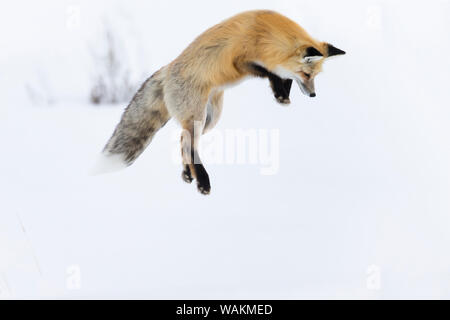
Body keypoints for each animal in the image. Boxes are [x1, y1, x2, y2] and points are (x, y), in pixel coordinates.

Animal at [98, 10, 344, 194]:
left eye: (315, 76)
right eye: (307, 74)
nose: (313, 95)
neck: (264, 33)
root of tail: (166, 70)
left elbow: (281, 75)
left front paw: (282, 93)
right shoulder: (241, 61)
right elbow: (269, 72)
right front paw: (280, 92)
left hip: (210, 118)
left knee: (183, 139)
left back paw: (187, 173)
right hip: (197, 116)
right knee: (190, 144)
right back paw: (202, 181)